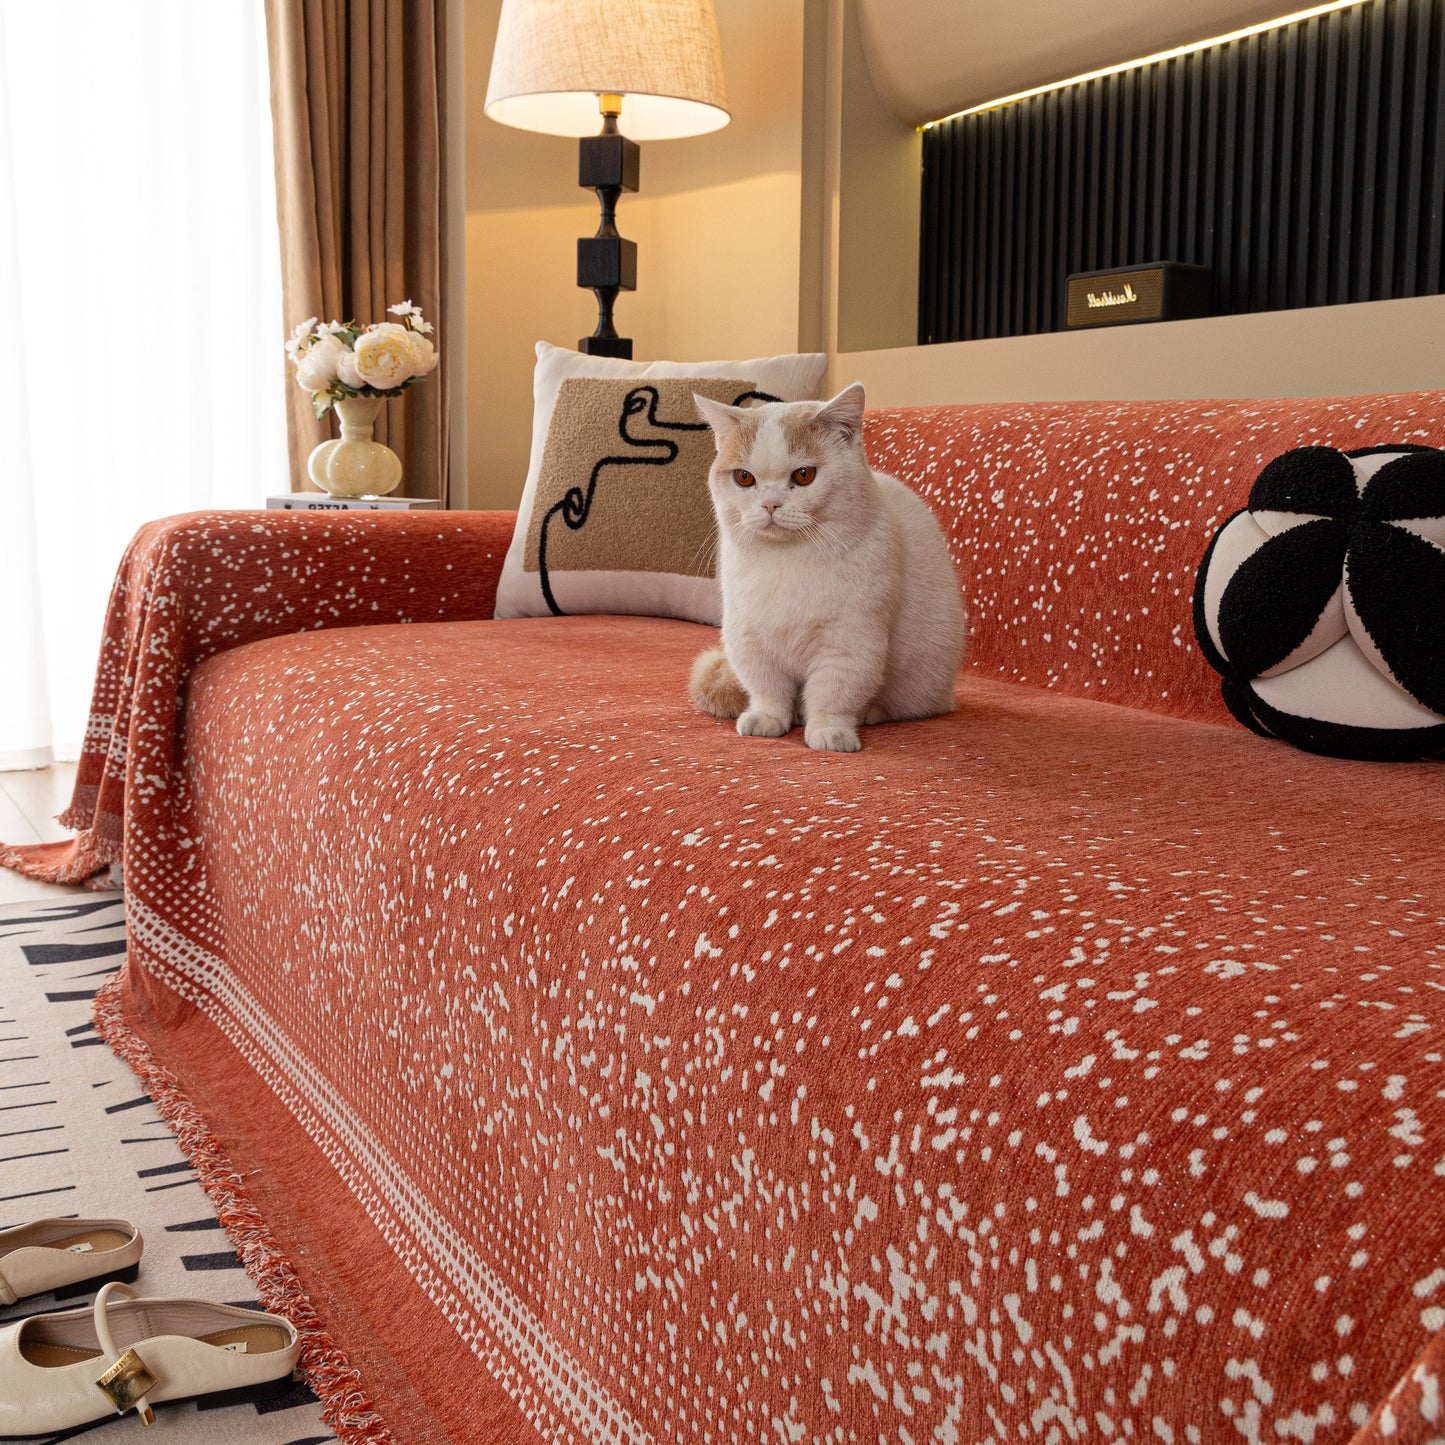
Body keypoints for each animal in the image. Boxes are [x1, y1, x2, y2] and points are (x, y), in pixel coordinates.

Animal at [689, 382, 966, 752]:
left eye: (804, 475)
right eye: (744, 477)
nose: (770, 504)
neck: (786, 563)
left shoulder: (849, 642)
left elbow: (832, 692)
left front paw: (829, 731)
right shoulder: (750, 638)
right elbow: (767, 688)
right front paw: (768, 717)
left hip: (923, 681)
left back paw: (867, 713)